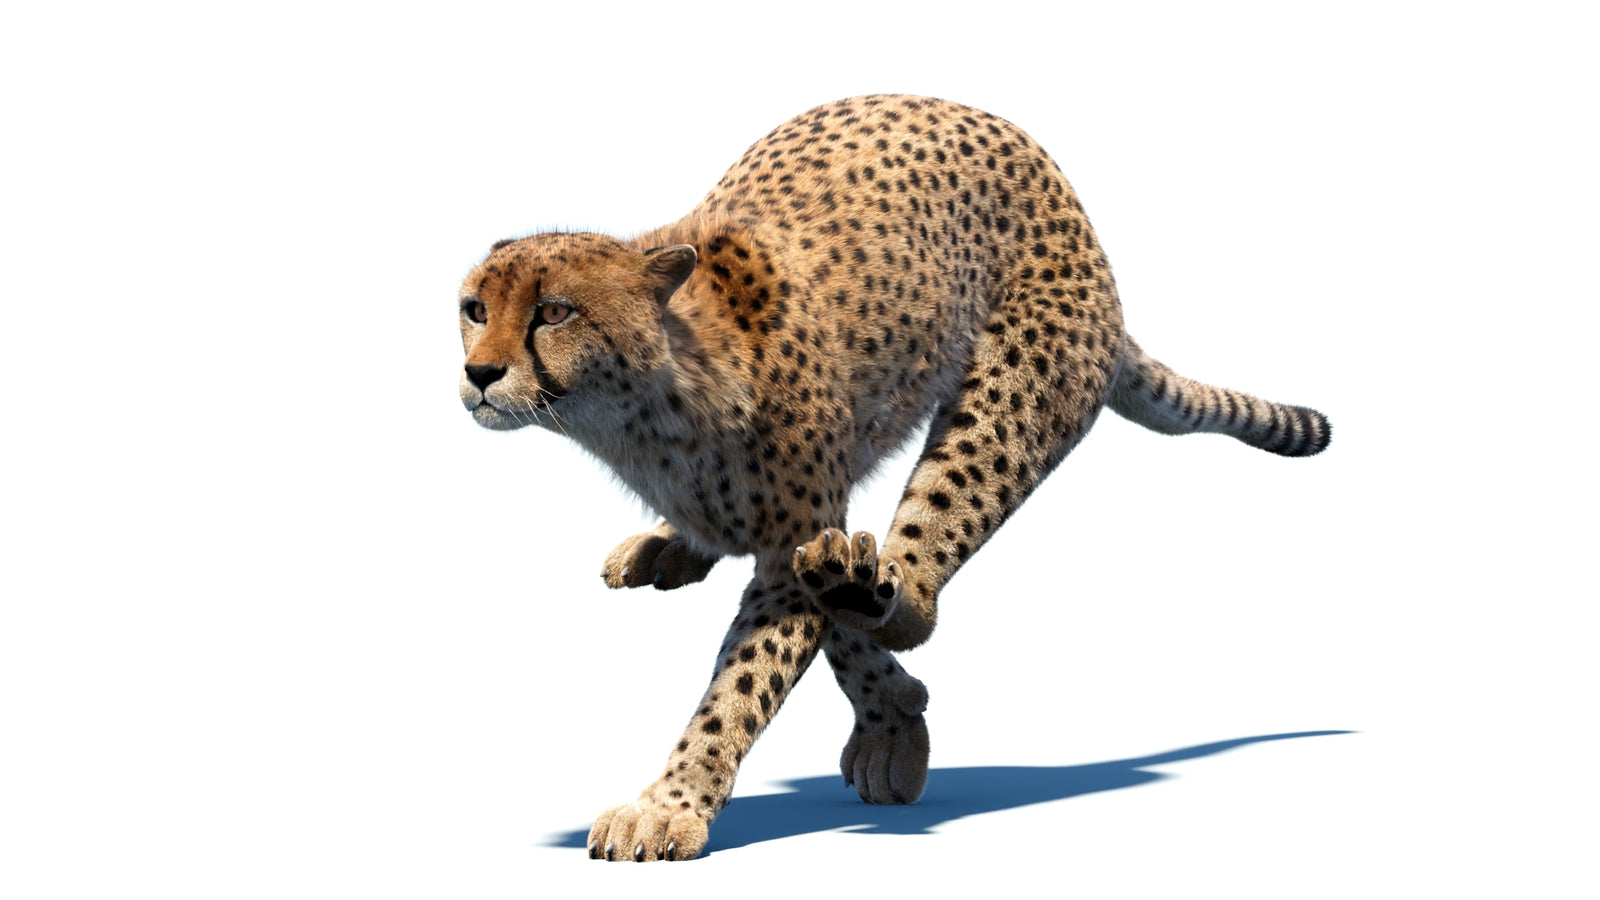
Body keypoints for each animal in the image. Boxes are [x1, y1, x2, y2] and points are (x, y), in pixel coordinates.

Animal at [456, 95, 1330, 862]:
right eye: (473, 309)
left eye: (553, 312)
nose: (479, 374)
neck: (644, 401)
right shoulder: (795, 535)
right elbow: (818, 631)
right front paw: (893, 714)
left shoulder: (798, 535)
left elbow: (745, 680)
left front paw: (671, 805)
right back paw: (685, 549)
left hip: (1010, 387)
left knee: (923, 571)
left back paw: (883, 594)